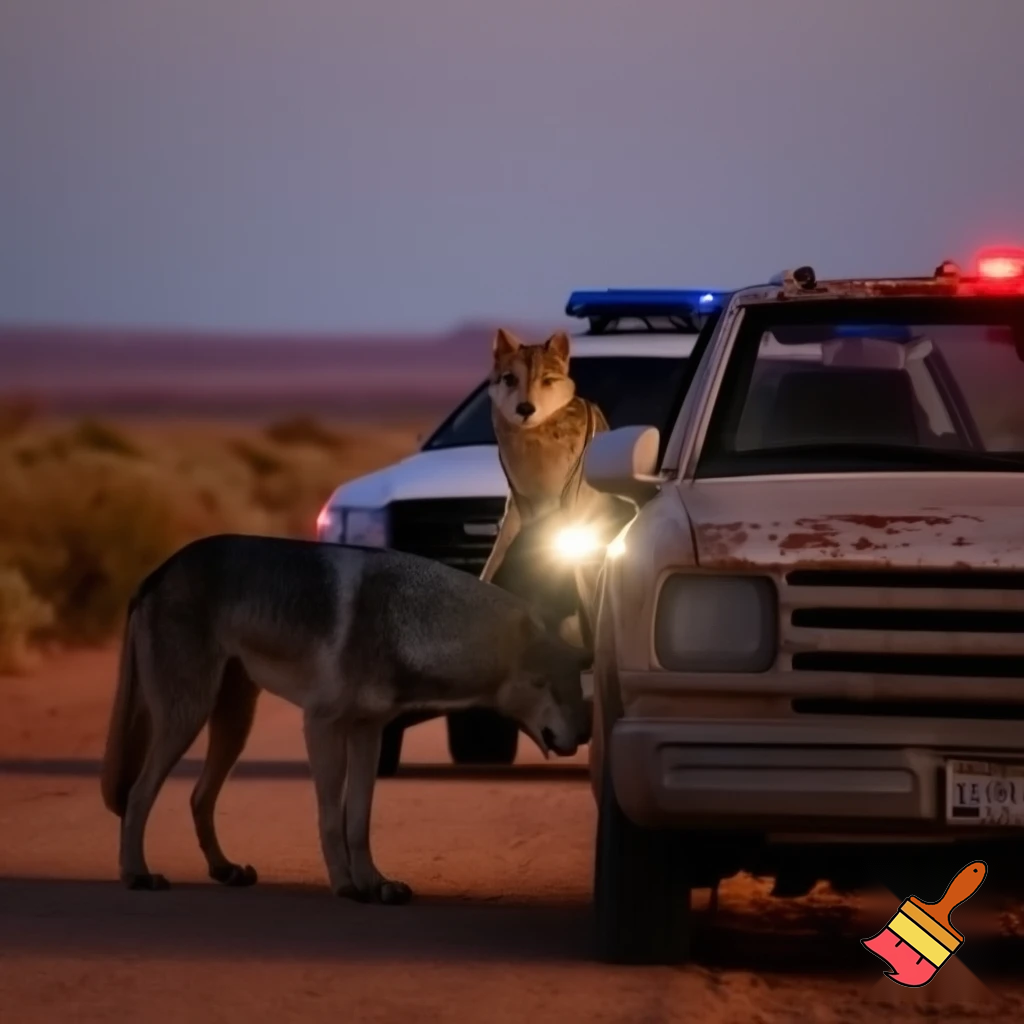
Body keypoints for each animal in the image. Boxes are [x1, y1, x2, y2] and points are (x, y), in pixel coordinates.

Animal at [100, 534, 590, 903]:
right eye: (549, 684)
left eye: (578, 681)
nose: (586, 735)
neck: (412, 623)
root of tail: (156, 572)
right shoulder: (321, 726)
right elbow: (331, 818)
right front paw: (345, 885)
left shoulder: (368, 733)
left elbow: (358, 821)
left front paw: (375, 882)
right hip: (187, 718)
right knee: (139, 795)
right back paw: (137, 874)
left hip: (233, 724)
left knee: (198, 796)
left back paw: (225, 869)